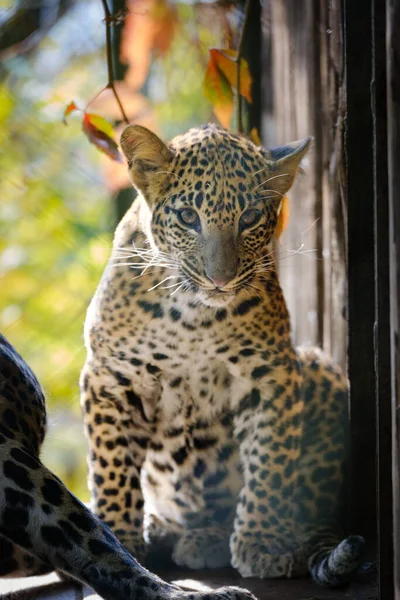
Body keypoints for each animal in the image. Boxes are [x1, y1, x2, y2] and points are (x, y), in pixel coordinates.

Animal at [80, 122, 366, 584]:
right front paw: (119, 537)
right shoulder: (110, 376)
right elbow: (113, 466)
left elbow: (270, 466)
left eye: (249, 218)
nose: (220, 279)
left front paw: (261, 544)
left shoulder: (271, 375)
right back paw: (163, 529)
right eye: (187, 218)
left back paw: (210, 539)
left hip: (320, 369)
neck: (191, 315)